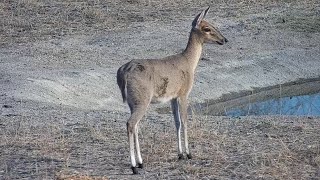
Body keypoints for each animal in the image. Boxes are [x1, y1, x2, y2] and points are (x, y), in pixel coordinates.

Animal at [117, 7, 228, 174]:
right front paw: (188, 154)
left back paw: (141, 162)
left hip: (133, 102)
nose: (224, 40)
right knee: (130, 123)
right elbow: (185, 121)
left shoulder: (172, 97)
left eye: (213, 23)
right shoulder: (183, 93)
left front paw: (180, 154)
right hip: (142, 100)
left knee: (135, 125)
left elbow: (177, 122)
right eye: (207, 28)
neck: (188, 63)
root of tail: (124, 72)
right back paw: (134, 166)